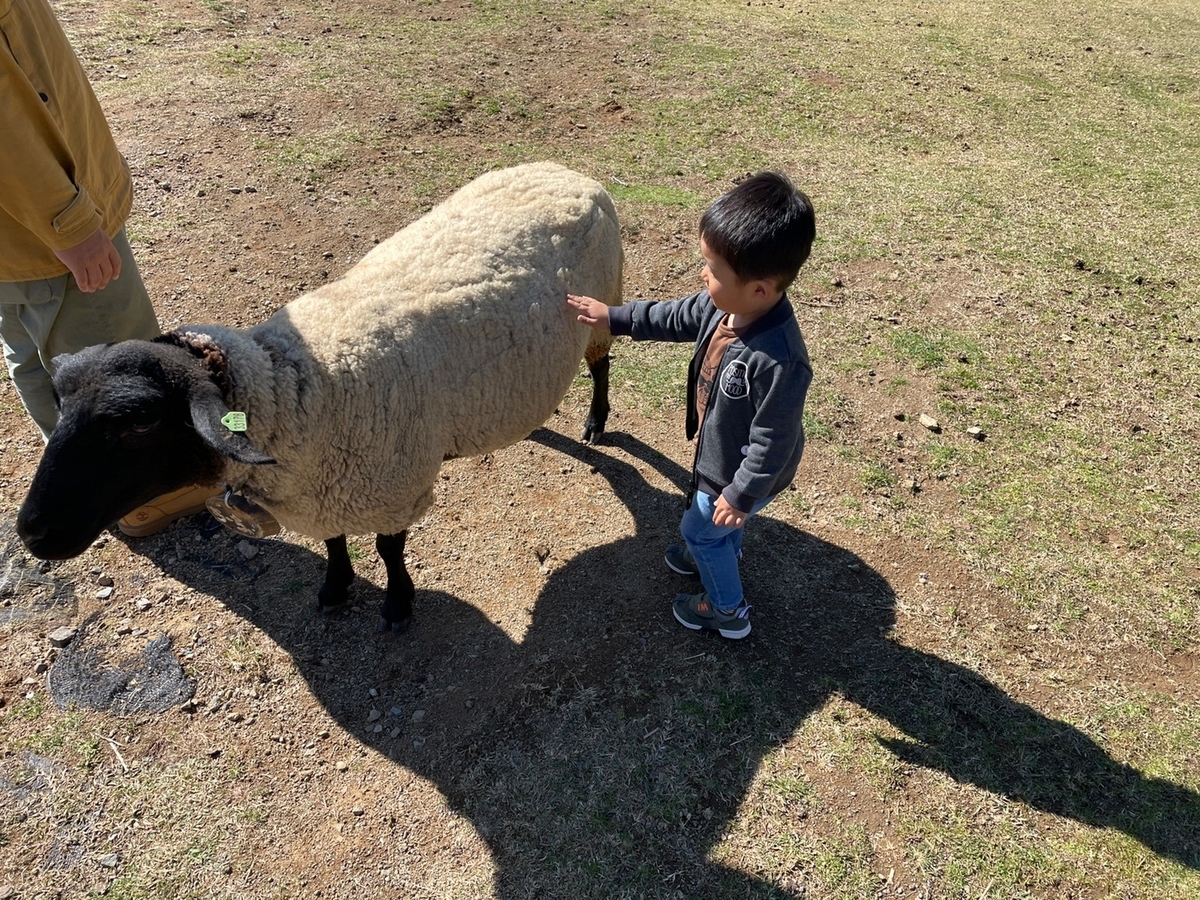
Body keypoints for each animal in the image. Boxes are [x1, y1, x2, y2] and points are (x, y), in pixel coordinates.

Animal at [16, 162, 619, 633]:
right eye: (59, 403)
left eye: (140, 421)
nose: (31, 531)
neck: (304, 389)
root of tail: (568, 172)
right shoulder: (325, 491)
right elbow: (333, 544)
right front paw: (334, 587)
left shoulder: (392, 487)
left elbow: (388, 550)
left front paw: (398, 603)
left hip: (601, 305)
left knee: (602, 364)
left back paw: (595, 421)